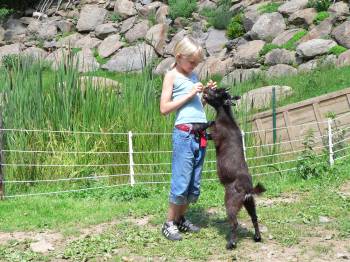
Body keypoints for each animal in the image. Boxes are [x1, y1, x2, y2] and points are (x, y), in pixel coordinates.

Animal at [202, 87, 266, 249]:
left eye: (216, 92)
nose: (205, 88)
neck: (226, 120)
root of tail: (248, 189)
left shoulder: (215, 135)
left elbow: (208, 129)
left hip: (230, 203)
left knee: (234, 223)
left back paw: (231, 243)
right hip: (249, 202)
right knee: (255, 217)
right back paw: (257, 237)